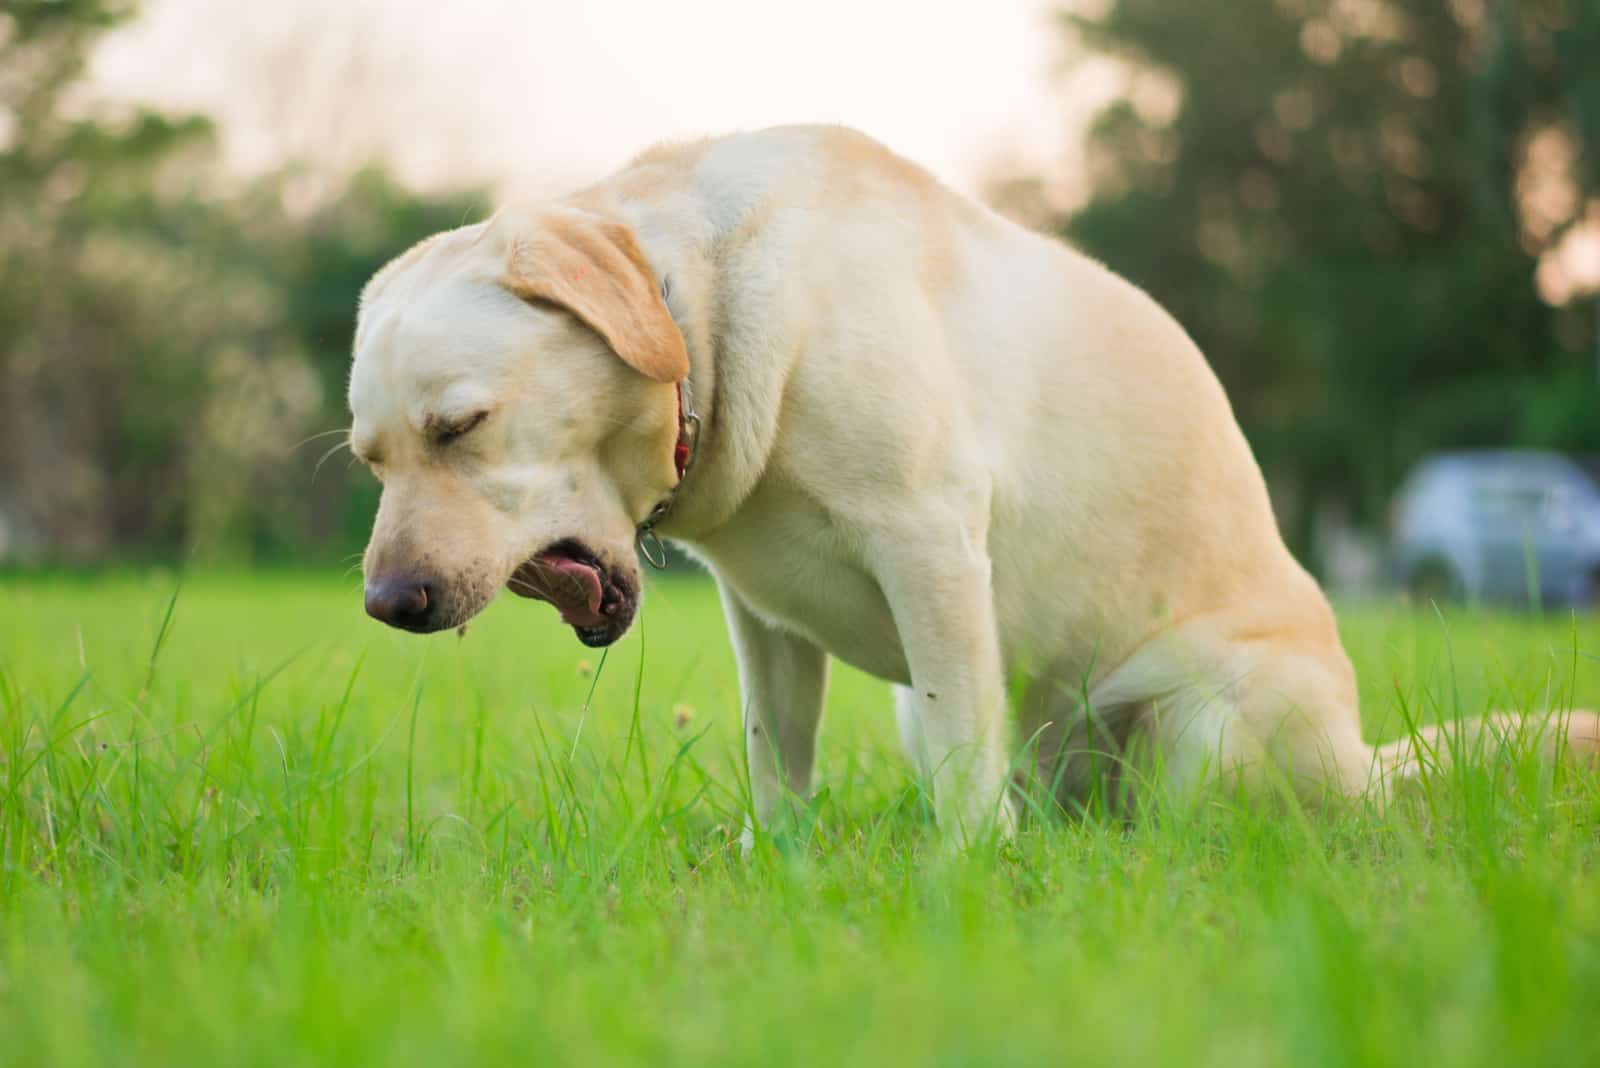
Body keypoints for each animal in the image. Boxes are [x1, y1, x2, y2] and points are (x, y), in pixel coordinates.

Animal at [353, 127, 1600, 844]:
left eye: (461, 427)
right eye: (371, 456)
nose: (389, 604)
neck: (704, 308)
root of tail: (1364, 769)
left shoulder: (930, 548)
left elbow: (962, 762)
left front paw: (960, 882)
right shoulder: (762, 619)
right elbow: (777, 753)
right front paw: (780, 864)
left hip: (1206, 727)